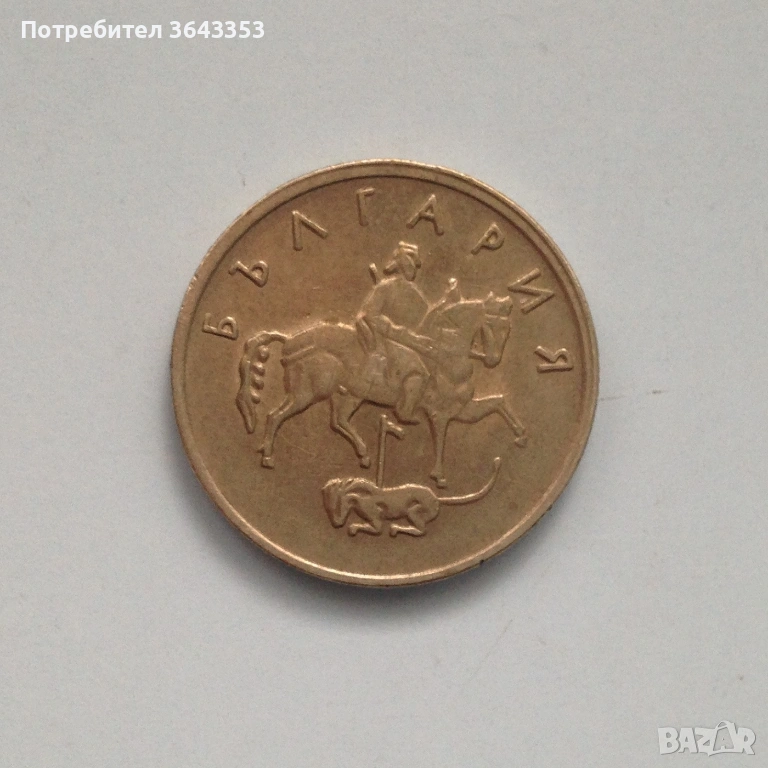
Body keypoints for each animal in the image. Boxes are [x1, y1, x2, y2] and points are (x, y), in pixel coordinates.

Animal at [236, 284, 526, 487]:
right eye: (494, 328)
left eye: (509, 330)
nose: (493, 360)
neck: (446, 356)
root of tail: (288, 340)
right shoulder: (439, 412)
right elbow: (441, 440)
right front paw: (439, 476)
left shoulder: (463, 409)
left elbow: (499, 402)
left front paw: (521, 434)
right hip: (306, 394)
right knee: (275, 416)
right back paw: (268, 456)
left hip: (351, 395)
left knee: (338, 420)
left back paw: (364, 454)